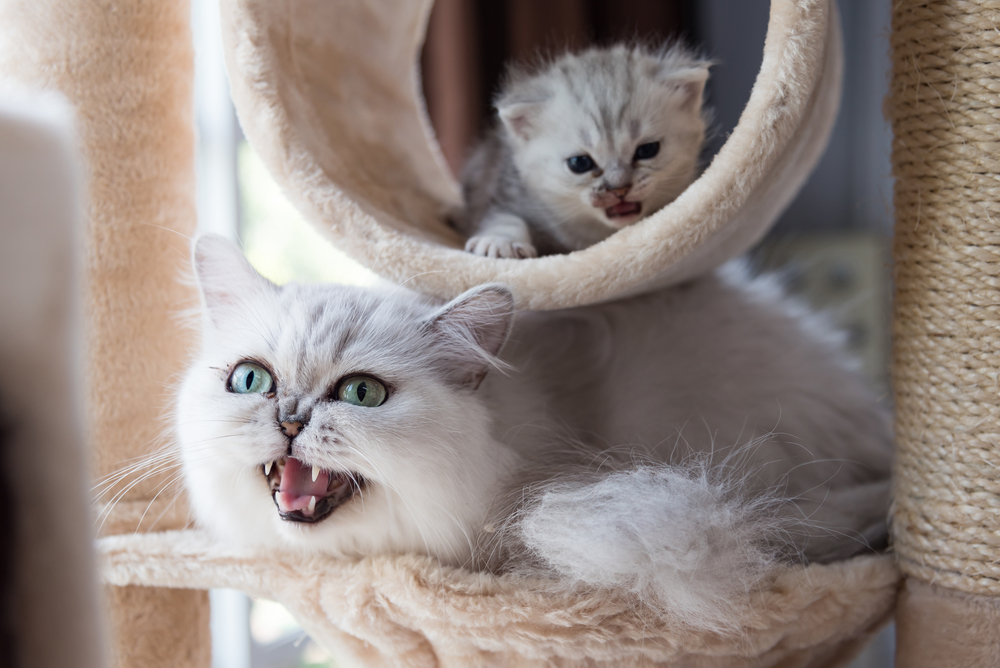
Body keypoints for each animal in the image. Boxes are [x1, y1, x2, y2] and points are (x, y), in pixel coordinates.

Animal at [458, 44, 708, 258]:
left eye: (647, 150)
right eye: (580, 163)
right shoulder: (503, 191)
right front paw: (501, 242)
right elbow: (504, 217)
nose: (619, 189)